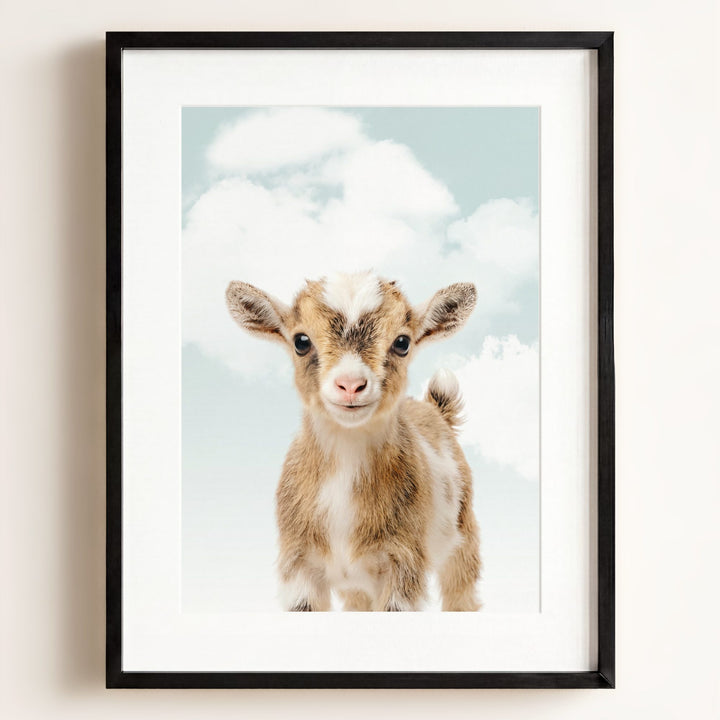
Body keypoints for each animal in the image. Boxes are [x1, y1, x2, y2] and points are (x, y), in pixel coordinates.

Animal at [226, 271, 481, 611]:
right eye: (301, 341)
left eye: (402, 343)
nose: (350, 385)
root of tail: (435, 409)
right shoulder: (298, 565)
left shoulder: (403, 563)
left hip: (464, 537)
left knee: (462, 591)